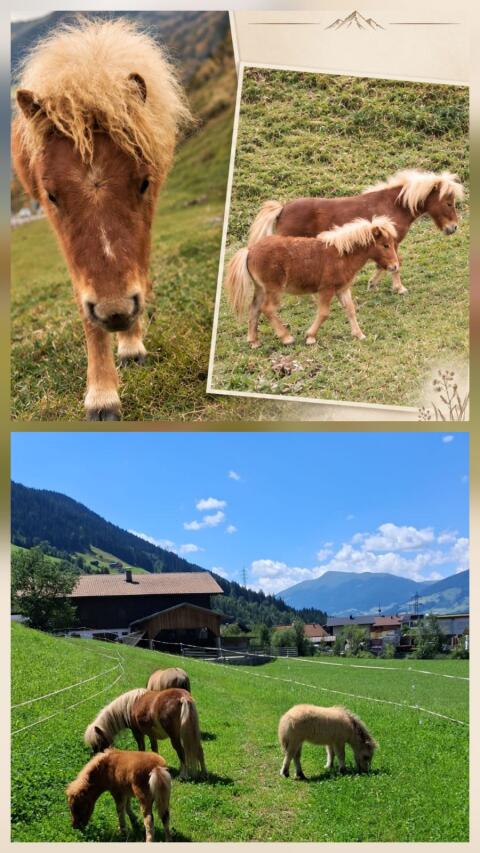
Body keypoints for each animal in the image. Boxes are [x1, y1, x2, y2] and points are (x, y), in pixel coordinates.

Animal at [12, 18, 191, 420]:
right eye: (51, 195)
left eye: (143, 182)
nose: (115, 312)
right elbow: (86, 311)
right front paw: (102, 395)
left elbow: (138, 266)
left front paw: (132, 345)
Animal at [225, 216, 399, 348]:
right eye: (385, 245)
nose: (395, 266)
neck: (342, 255)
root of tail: (250, 250)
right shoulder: (326, 290)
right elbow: (323, 313)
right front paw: (310, 337)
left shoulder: (342, 289)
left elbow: (350, 309)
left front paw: (359, 334)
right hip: (273, 289)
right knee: (267, 309)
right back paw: (286, 338)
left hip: (261, 289)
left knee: (254, 309)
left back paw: (253, 341)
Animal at [248, 169, 464, 295]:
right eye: (449, 203)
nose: (453, 227)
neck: (393, 206)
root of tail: (282, 209)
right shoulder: (391, 242)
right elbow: (394, 263)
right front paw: (399, 288)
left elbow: (384, 264)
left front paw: (373, 284)